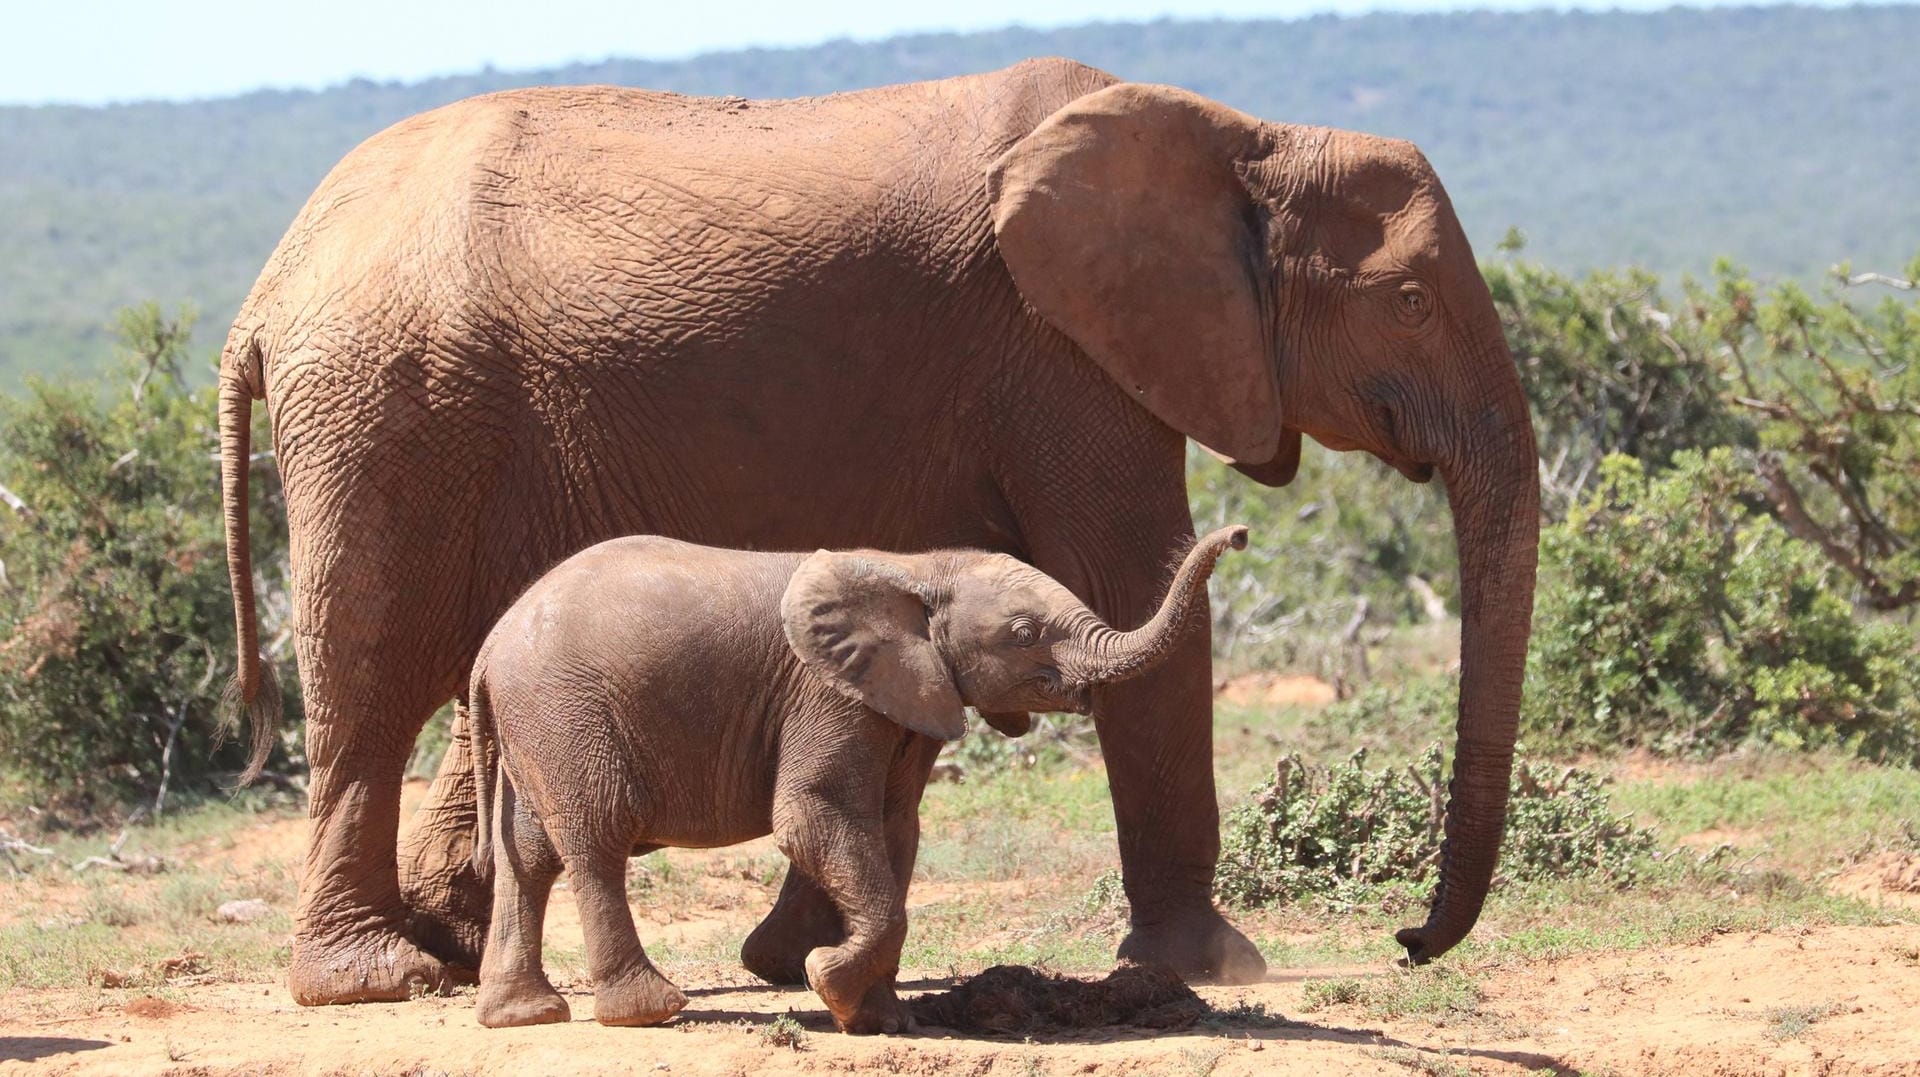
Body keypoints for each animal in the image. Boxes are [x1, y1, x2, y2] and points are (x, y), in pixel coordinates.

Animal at [464, 526, 1244, 1029]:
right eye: (1024, 634)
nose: (1237, 535)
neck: (919, 568)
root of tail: (490, 645)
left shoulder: (910, 696)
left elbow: (895, 832)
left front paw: (878, 1019)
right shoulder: (829, 691)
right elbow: (816, 813)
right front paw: (828, 983)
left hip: (537, 724)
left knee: (525, 855)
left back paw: (523, 1015)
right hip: (565, 709)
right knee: (595, 838)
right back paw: (648, 1012)